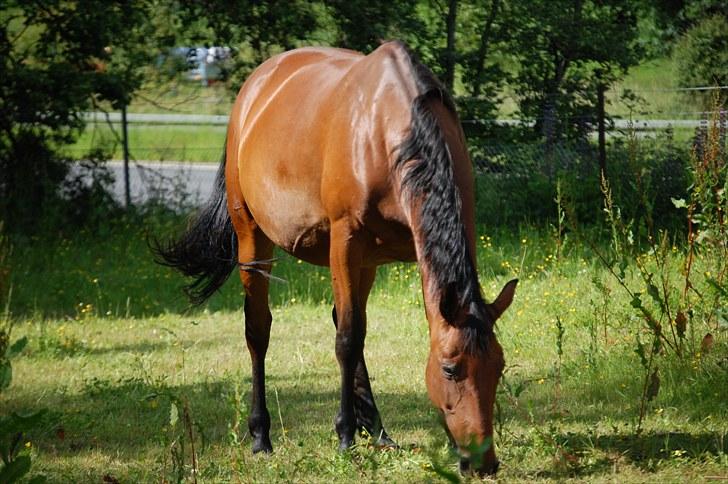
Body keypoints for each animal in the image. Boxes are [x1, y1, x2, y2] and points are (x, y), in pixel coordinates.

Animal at [154, 38, 516, 476]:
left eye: (498, 366)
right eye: (450, 368)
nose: (483, 462)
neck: (390, 131)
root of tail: (254, 88)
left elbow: (356, 332)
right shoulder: (345, 240)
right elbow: (347, 338)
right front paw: (345, 436)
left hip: (365, 263)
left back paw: (377, 430)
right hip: (251, 236)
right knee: (258, 330)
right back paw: (261, 435)